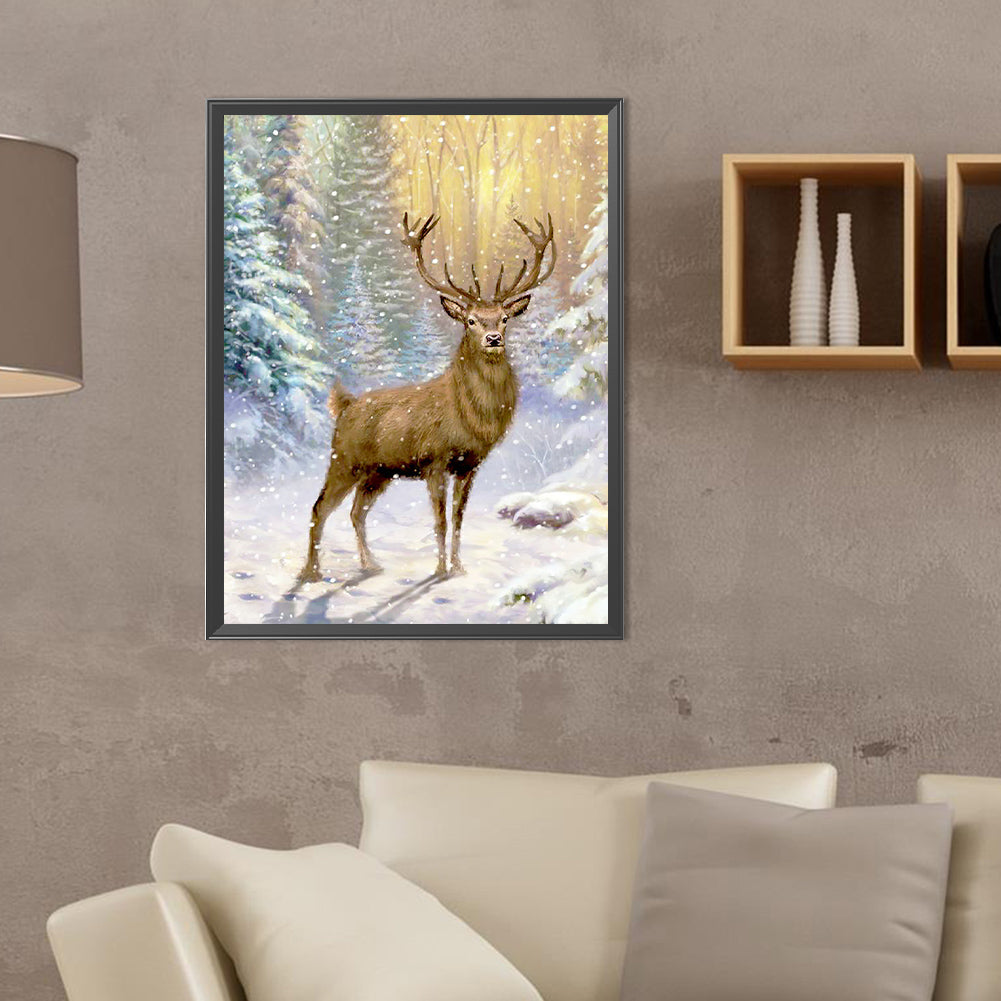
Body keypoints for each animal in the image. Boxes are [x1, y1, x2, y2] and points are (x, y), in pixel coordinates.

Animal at [296, 211, 556, 584]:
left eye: (505, 318)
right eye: (471, 320)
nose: (493, 338)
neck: (468, 417)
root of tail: (345, 405)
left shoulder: (469, 465)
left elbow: (459, 519)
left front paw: (459, 566)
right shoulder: (434, 460)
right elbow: (440, 521)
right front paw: (440, 569)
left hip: (378, 473)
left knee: (356, 511)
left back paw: (370, 563)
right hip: (344, 458)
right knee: (320, 506)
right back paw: (311, 572)